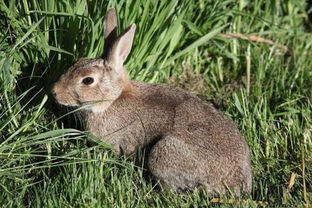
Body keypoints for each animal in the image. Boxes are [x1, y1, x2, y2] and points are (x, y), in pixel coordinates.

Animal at [52, 8, 252, 197]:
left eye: (88, 80)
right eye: (77, 61)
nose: (54, 92)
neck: (112, 99)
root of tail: (238, 182)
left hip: (162, 154)